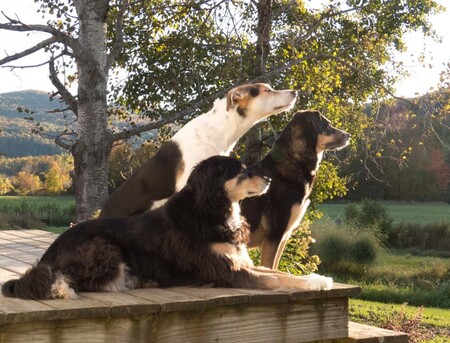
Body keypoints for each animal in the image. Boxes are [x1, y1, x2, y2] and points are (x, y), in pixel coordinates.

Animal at [1, 157, 332, 300]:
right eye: (241, 171)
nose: (269, 180)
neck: (210, 210)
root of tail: (52, 248)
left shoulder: (239, 261)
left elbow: (278, 272)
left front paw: (316, 277)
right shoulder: (228, 271)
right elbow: (277, 280)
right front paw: (314, 284)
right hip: (104, 248)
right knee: (75, 279)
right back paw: (66, 288)